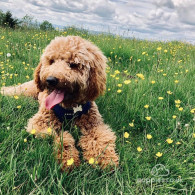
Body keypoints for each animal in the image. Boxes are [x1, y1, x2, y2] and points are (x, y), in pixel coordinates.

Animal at [0, 36, 119, 171]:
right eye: (51, 61)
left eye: (73, 65)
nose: (50, 80)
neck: (69, 107)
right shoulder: (40, 123)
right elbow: (60, 135)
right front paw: (68, 158)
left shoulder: (94, 125)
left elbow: (100, 139)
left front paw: (105, 158)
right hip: (25, 90)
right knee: (13, 90)